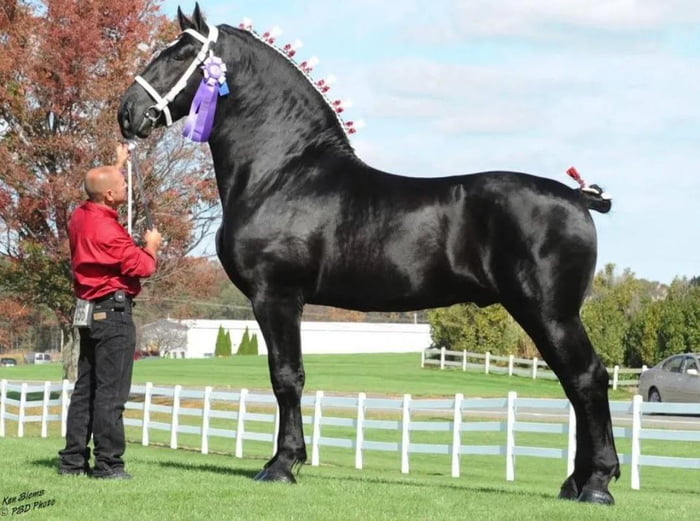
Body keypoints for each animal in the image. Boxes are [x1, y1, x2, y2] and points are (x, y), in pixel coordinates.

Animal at [117, 5, 620, 504]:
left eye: (180, 54)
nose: (128, 112)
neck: (284, 173)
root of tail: (577, 197)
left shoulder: (275, 295)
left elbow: (286, 376)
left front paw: (282, 464)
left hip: (549, 312)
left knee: (587, 378)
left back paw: (597, 484)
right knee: (574, 383)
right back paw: (576, 483)